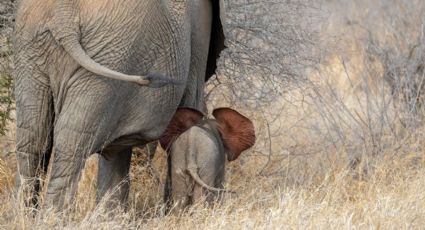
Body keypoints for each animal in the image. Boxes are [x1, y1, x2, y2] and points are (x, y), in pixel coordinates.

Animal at [14, 0, 225, 210]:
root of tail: (62, 18)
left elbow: (116, 153)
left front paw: (109, 214)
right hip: (111, 57)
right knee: (71, 147)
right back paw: (53, 215)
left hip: (34, 53)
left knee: (33, 141)